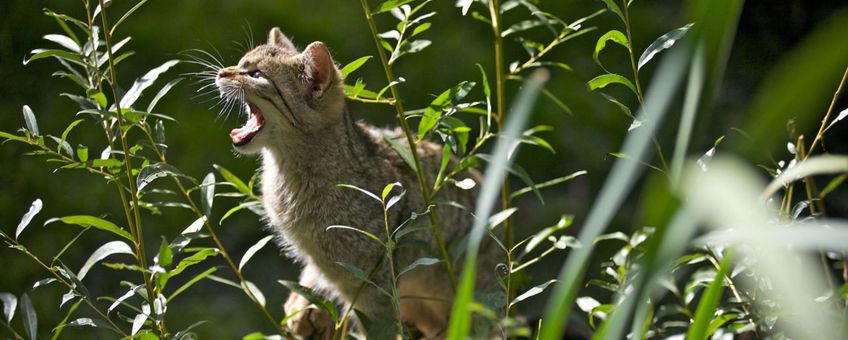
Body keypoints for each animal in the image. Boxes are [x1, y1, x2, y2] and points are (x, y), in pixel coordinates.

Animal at [214, 27, 504, 338]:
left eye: (255, 74)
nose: (220, 72)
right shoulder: (319, 260)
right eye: (240, 63)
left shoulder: (373, 289)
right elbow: (312, 276)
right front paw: (303, 308)